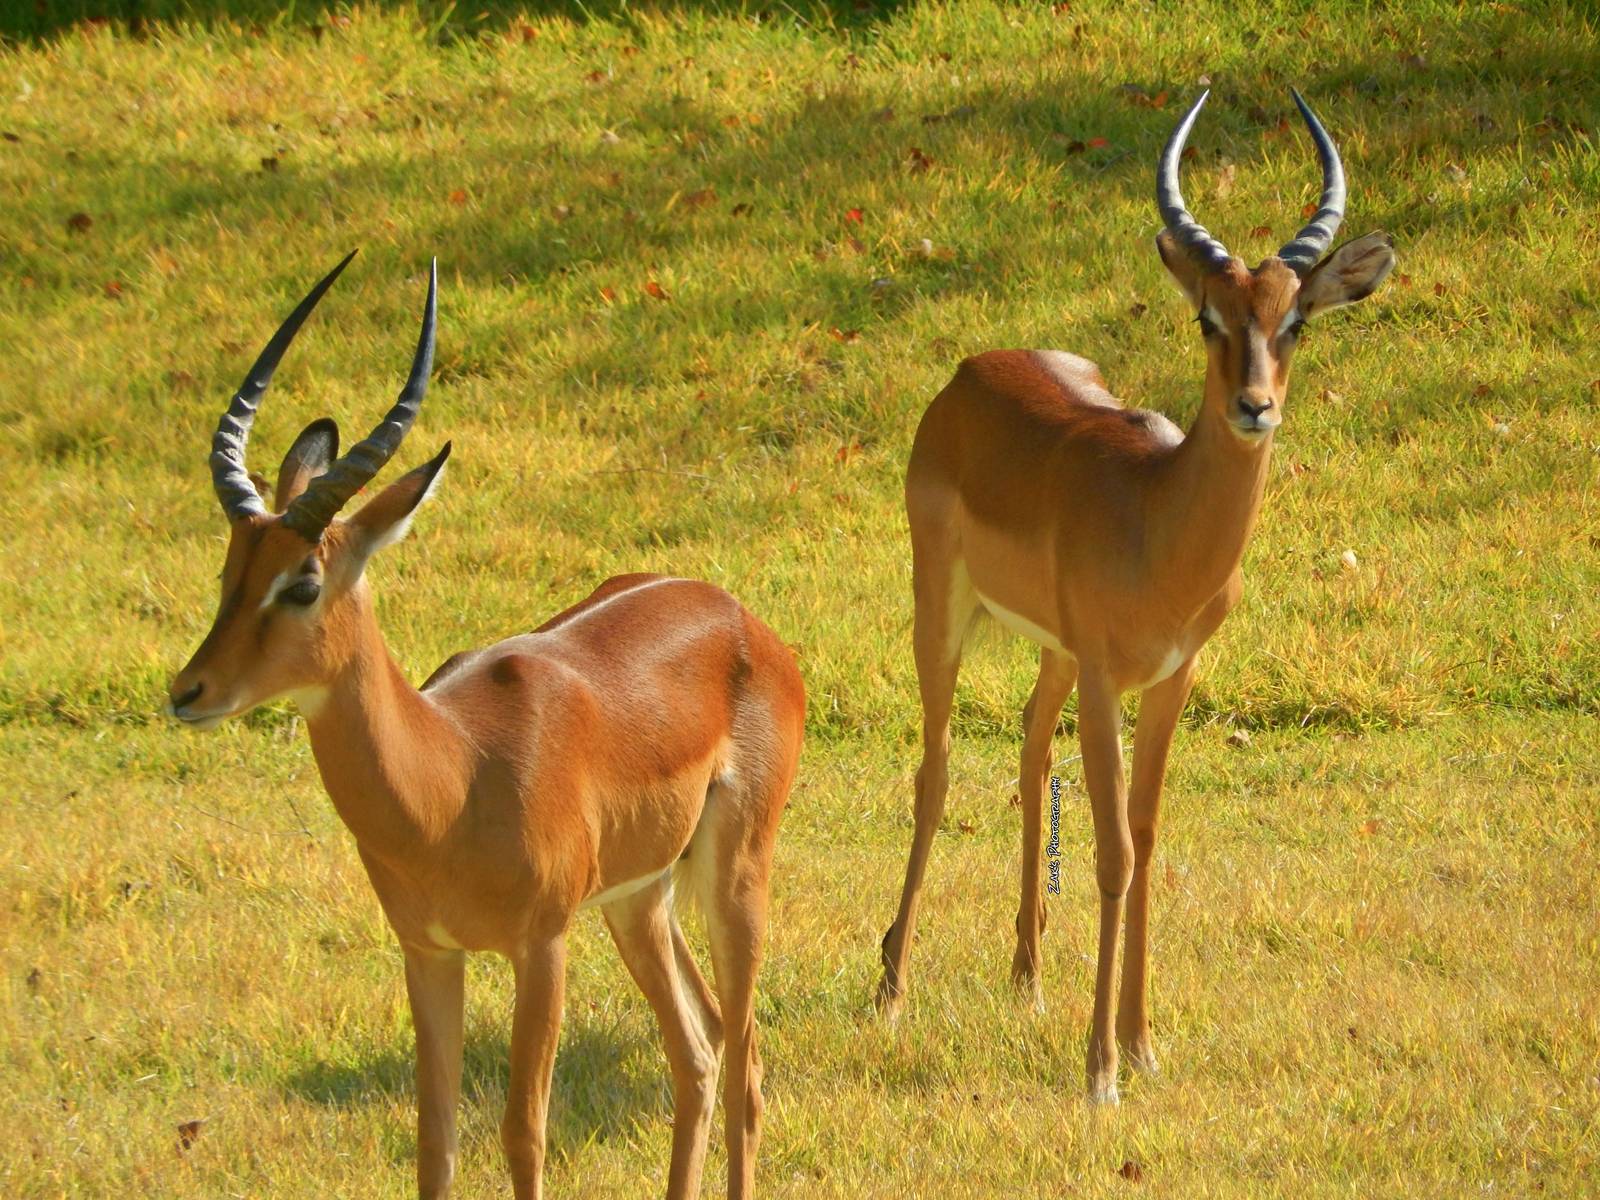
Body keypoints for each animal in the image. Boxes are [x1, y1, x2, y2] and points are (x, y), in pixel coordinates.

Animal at [166, 253, 805, 1199]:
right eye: (229, 574)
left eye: (303, 584)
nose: (189, 690)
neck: (452, 781)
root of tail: (737, 614)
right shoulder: (430, 953)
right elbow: (434, 1137)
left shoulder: (540, 947)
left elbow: (520, 1131)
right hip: (640, 897)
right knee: (699, 1048)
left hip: (734, 877)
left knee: (746, 1067)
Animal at [874, 90, 1396, 1103]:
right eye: (1208, 319)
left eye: (1296, 322)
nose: (1255, 407)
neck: (1158, 522)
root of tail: (967, 372)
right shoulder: (1108, 680)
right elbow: (1113, 851)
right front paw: (1101, 1070)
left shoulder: (1168, 679)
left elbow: (1148, 839)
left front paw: (1143, 1042)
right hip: (942, 612)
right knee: (936, 771)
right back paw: (890, 986)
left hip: (1053, 653)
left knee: (1029, 747)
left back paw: (1027, 977)